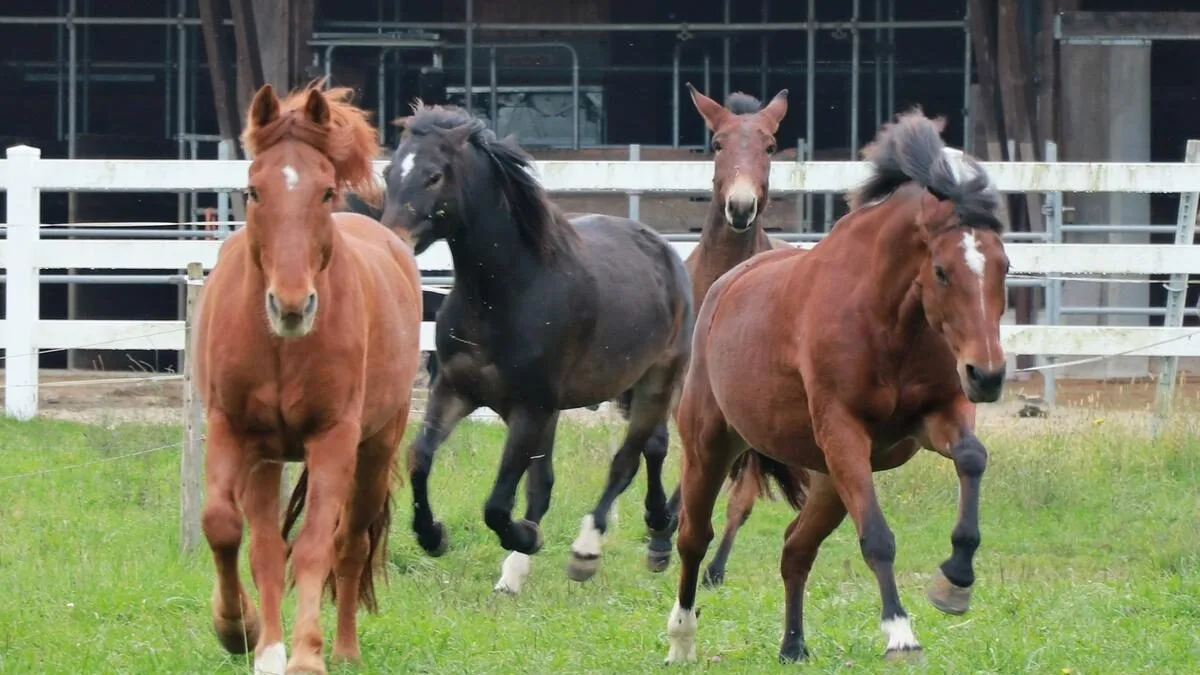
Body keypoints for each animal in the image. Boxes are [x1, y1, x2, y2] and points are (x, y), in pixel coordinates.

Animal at [192, 82, 423, 674]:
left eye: (324, 193)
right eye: (253, 190)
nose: (291, 305)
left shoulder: (333, 439)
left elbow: (318, 543)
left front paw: (306, 656)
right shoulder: (232, 430)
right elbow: (226, 529)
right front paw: (240, 631)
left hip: (374, 450)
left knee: (351, 544)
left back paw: (343, 649)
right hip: (267, 457)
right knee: (267, 547)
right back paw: (266, 642)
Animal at [379, 101, 694, 595]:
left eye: (433, 176)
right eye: (389, 171)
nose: (392, 240)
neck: (502, 294)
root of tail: (664, 249)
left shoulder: (530, 407)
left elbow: (498, 503)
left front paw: (526, 537)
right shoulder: (455, 390)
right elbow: (421, 458)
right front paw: (433, 536)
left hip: (657, 381)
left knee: (625, 461)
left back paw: (588, 550)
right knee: (648, 450)